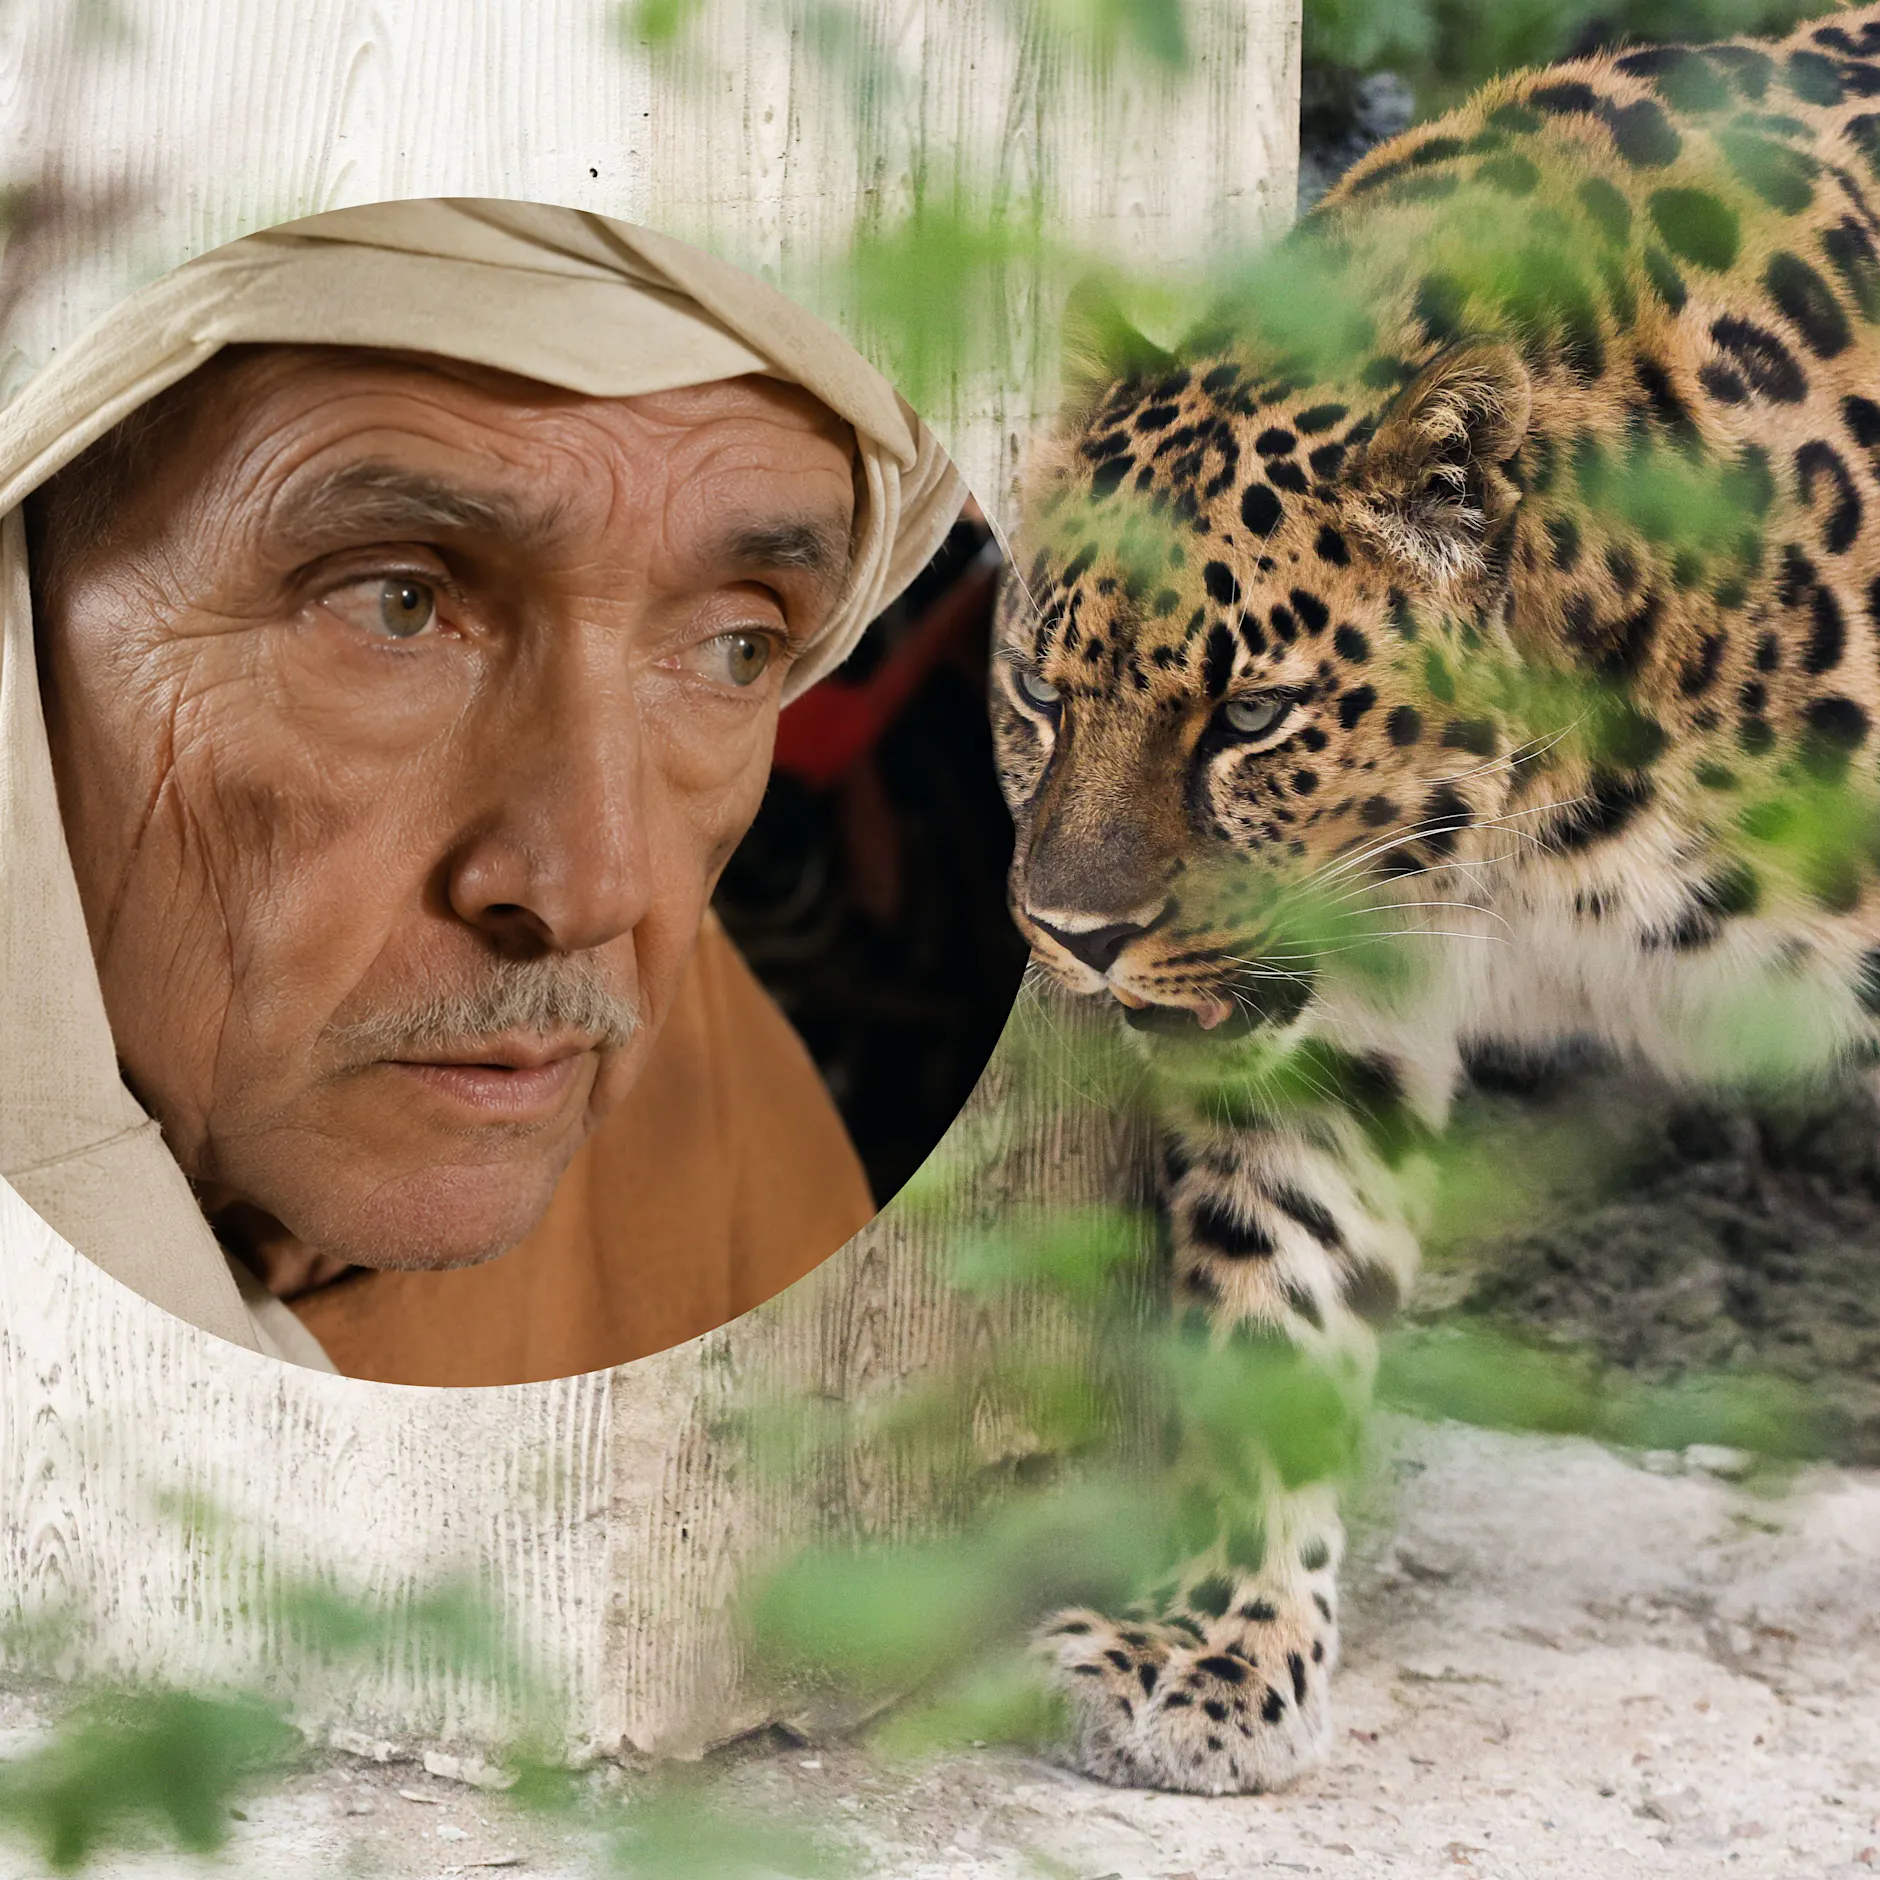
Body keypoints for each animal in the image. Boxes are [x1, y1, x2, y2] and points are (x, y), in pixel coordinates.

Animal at [991, 2, 1880, 1796]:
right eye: (1042, 690)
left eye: (1251, 716)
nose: (1074, 936)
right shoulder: (1341, 995)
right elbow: (1275, 1290)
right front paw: (1211, 1642)